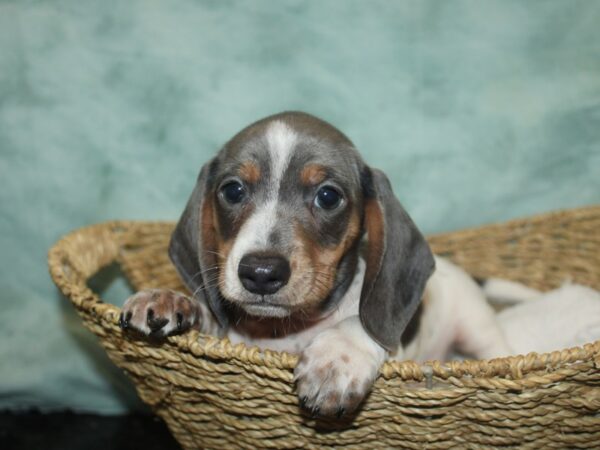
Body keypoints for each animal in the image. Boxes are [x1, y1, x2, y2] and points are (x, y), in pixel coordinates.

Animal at [120, 110, 510, 416]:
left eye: (328, 196)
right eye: (232, 190)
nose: (261, 273)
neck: (288, 332)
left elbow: (360, 322)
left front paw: (337, 358)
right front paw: (170, 300)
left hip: (479, 332)